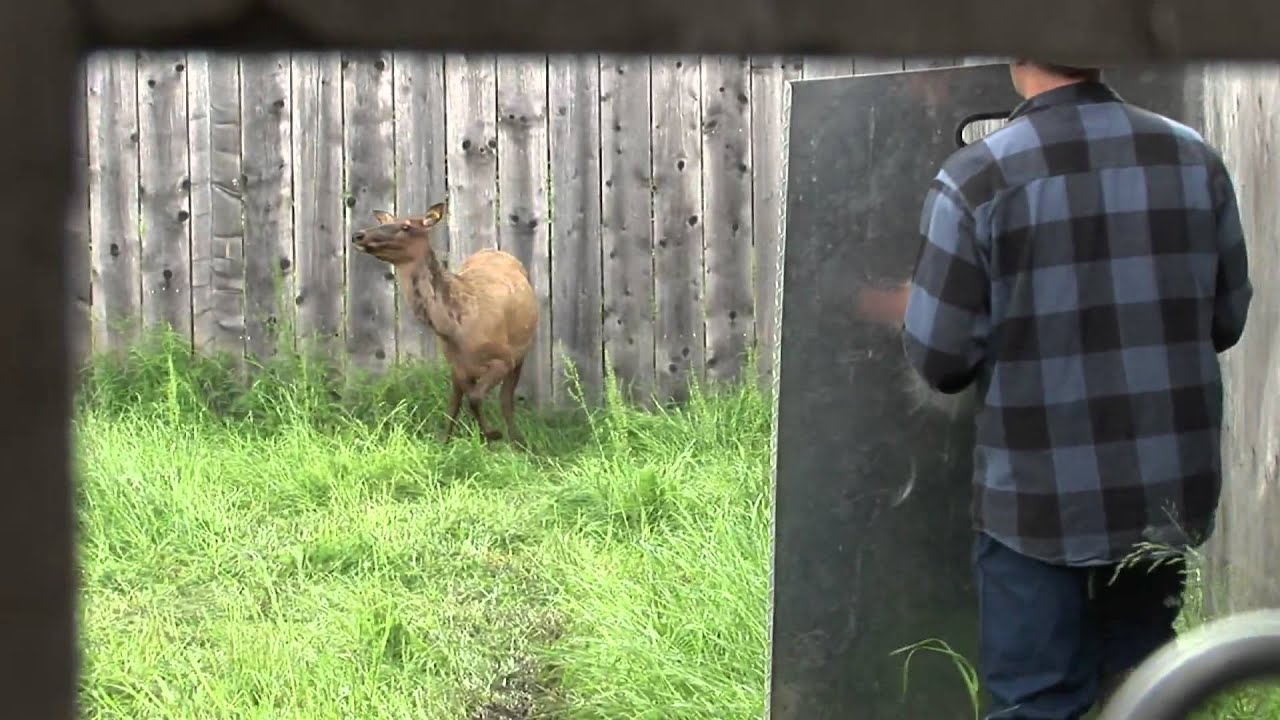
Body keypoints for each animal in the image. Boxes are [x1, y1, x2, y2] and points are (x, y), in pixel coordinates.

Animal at [351, 202, 538, 447]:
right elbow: (455, 405)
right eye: (387, 222)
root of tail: (496, 250)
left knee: (506, 399)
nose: (358, 235)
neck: (455, 327)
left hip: (520, 352)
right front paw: (448, 442)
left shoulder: (504, 359)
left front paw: (494, 435)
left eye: (406, 226)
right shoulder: (455, 364)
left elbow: (476, 397)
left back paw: (518, 442)